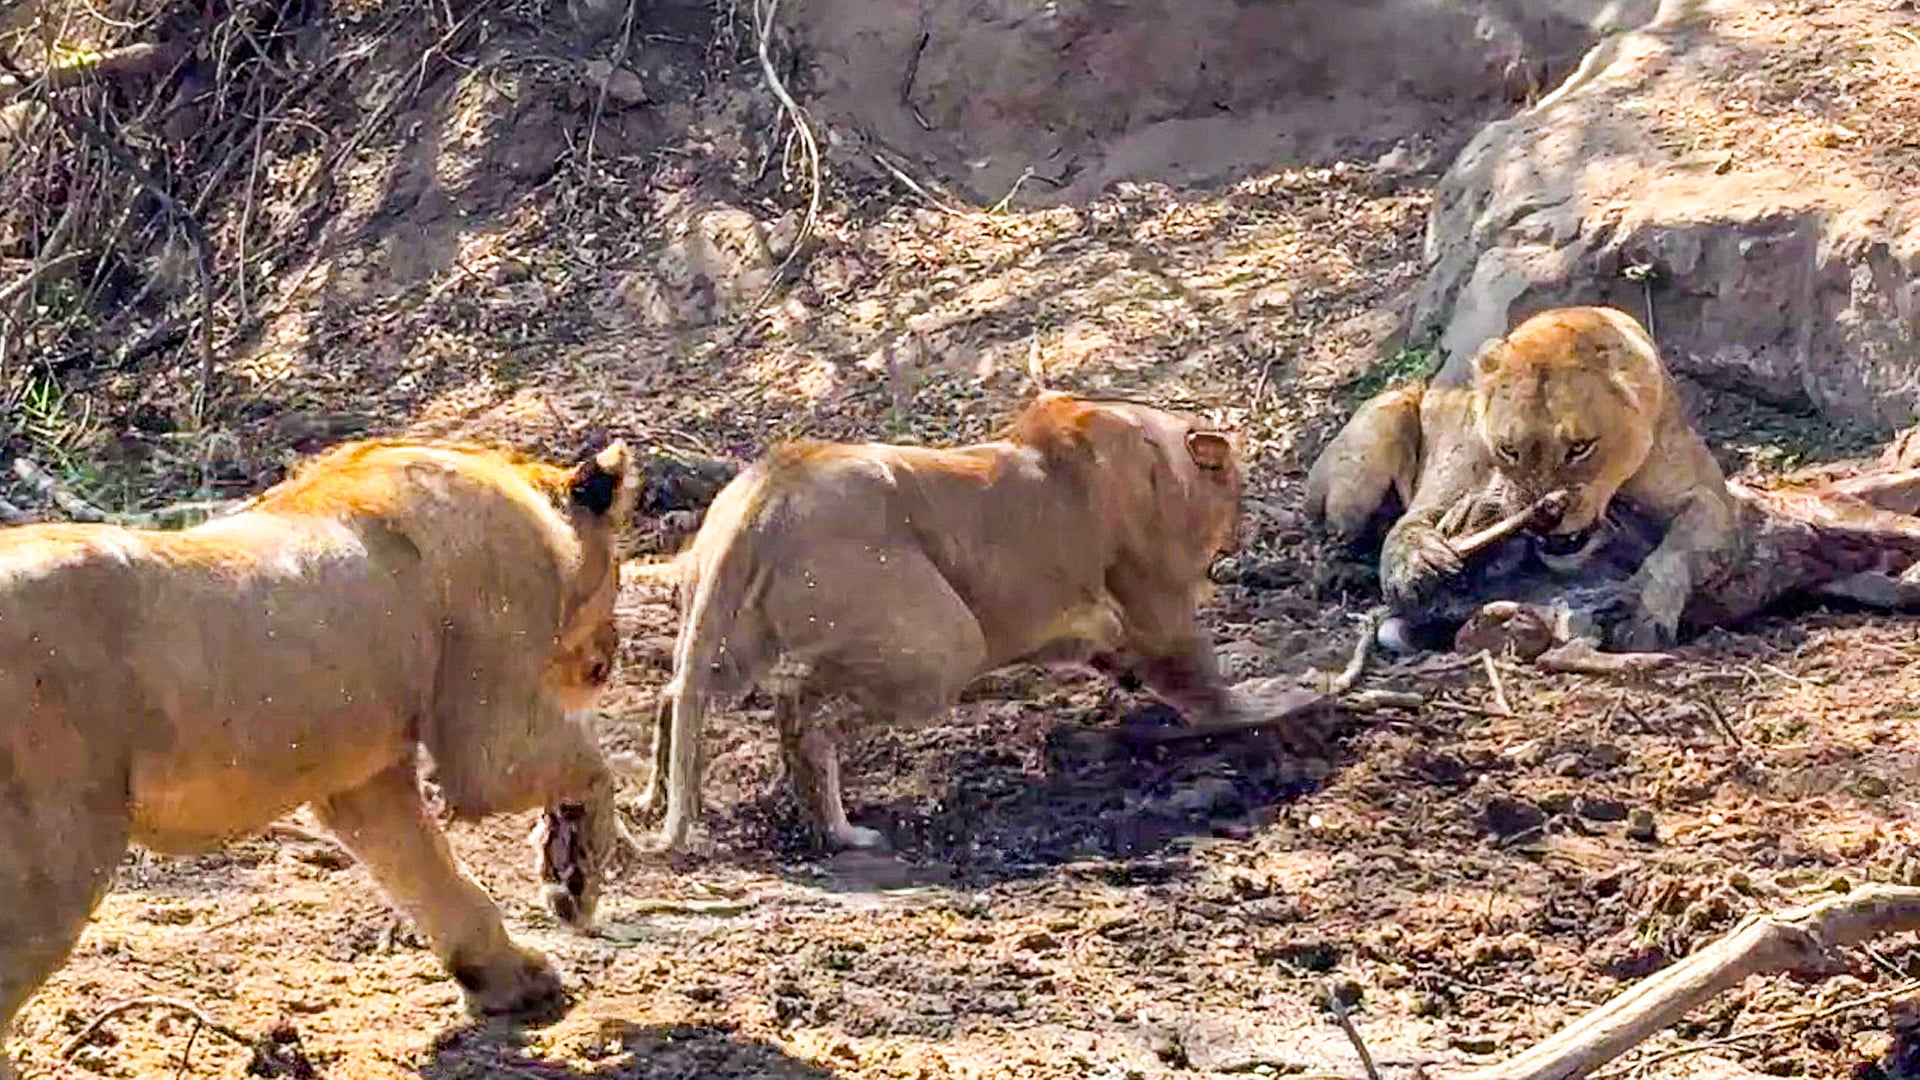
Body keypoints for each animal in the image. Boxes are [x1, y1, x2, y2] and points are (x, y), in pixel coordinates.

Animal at [0, 437, 639, 1079]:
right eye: (618, 573)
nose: (610, 652)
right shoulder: (488, 740)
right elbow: (590, 767)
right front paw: (575, 880)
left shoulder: (366, 784)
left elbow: (434, 876)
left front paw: (514, 980)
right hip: (54, 852)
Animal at [629, 392, 1253, 853]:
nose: (1239, 536)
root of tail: (766, 492)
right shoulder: (1157, 607)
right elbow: (1207, 682)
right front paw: (1255, 707)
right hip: (942, 644)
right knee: (809, 713)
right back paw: (846, 832)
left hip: (731, 639)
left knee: (679, 693)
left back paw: (656, 801)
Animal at [1306, 306, 1742, 651]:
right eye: (1508, 450)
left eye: (1580, 447)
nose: (1546, 518)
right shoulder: (1444, 482)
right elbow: (1406, 528)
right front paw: (1419, 563)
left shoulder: (1710, 497)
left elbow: (1674, 554)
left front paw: (1640, 614)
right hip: (1385, 416)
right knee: (1336, 533)